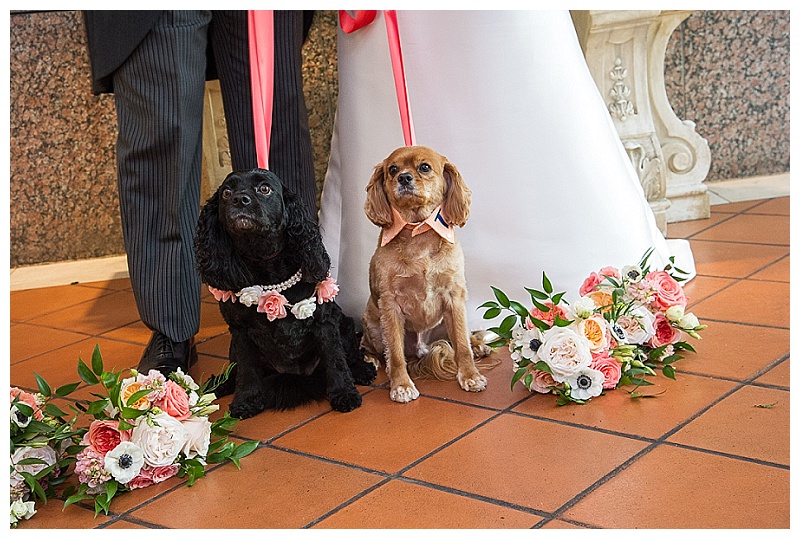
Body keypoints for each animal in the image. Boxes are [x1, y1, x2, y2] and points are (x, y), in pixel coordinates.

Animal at [197, 169, 378, 418]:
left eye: (264, 188)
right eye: (226, 192)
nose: (240, 200)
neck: (266, 267)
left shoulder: (324, 322)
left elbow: (335, 360)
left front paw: (344, 393)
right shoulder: (240, 331)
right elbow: (246, 369)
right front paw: (246, 400)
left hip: (345, 324)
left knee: (349, 354)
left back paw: (362, 370)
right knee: (235, 370)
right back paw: (219, 385)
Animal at [360, 146, 488, 402]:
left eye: (424, 167)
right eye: (393, 169)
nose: (404, 178)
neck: (417, 232)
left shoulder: (454, 297)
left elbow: (461, 345)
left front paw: (470, 375)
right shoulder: (390, 304)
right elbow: (395, 354)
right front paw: (401, 385)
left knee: (463, 338)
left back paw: (478, 345)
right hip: (372, 325)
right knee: (368, 345)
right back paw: (369, 358)